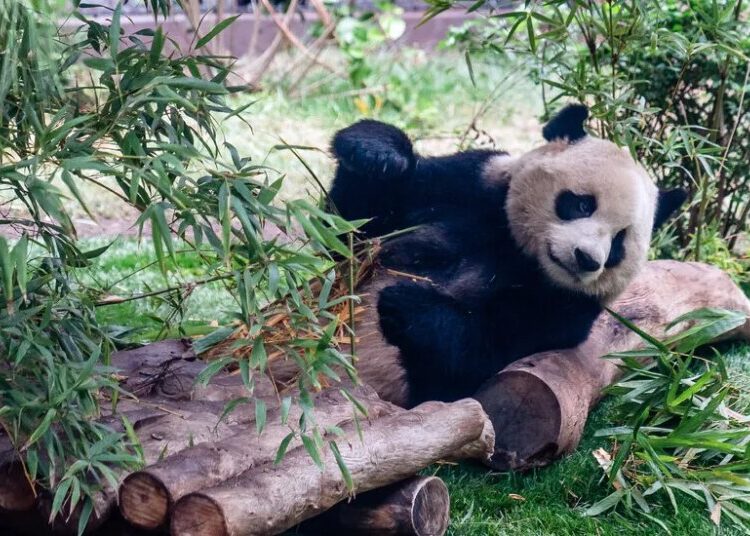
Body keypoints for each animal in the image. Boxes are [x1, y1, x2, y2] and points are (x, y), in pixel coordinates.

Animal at [326, 104, 687, 408]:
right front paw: (375, 151)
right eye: (583, 204)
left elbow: (482, 353)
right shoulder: (466, 187)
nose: (587, 259)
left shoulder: (564, 309)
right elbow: (350, 229)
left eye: (618, 243)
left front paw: (408, 304)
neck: (519, 251)